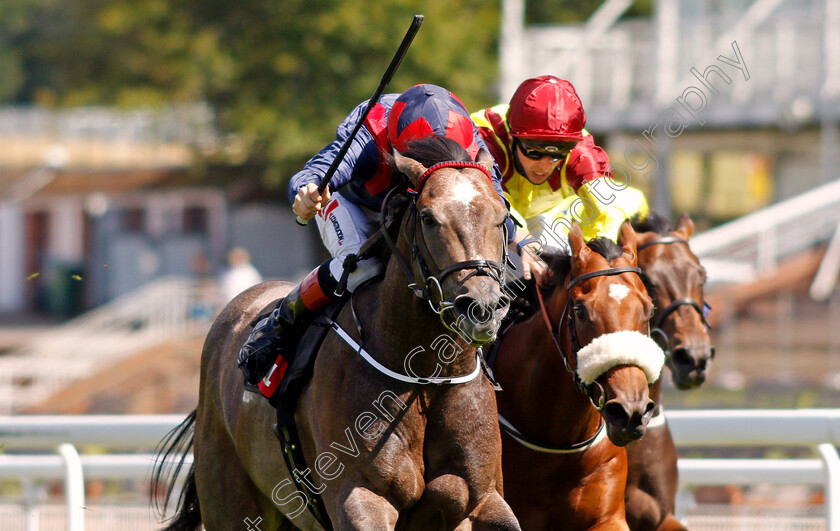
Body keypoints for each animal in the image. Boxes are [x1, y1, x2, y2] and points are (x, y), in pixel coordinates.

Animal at [153, 138, 520, 531]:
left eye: (502, 217)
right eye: (428, 218)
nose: (482, 305)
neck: (426, 378)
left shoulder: (483, 498)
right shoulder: (360, 496)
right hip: (230, 499)